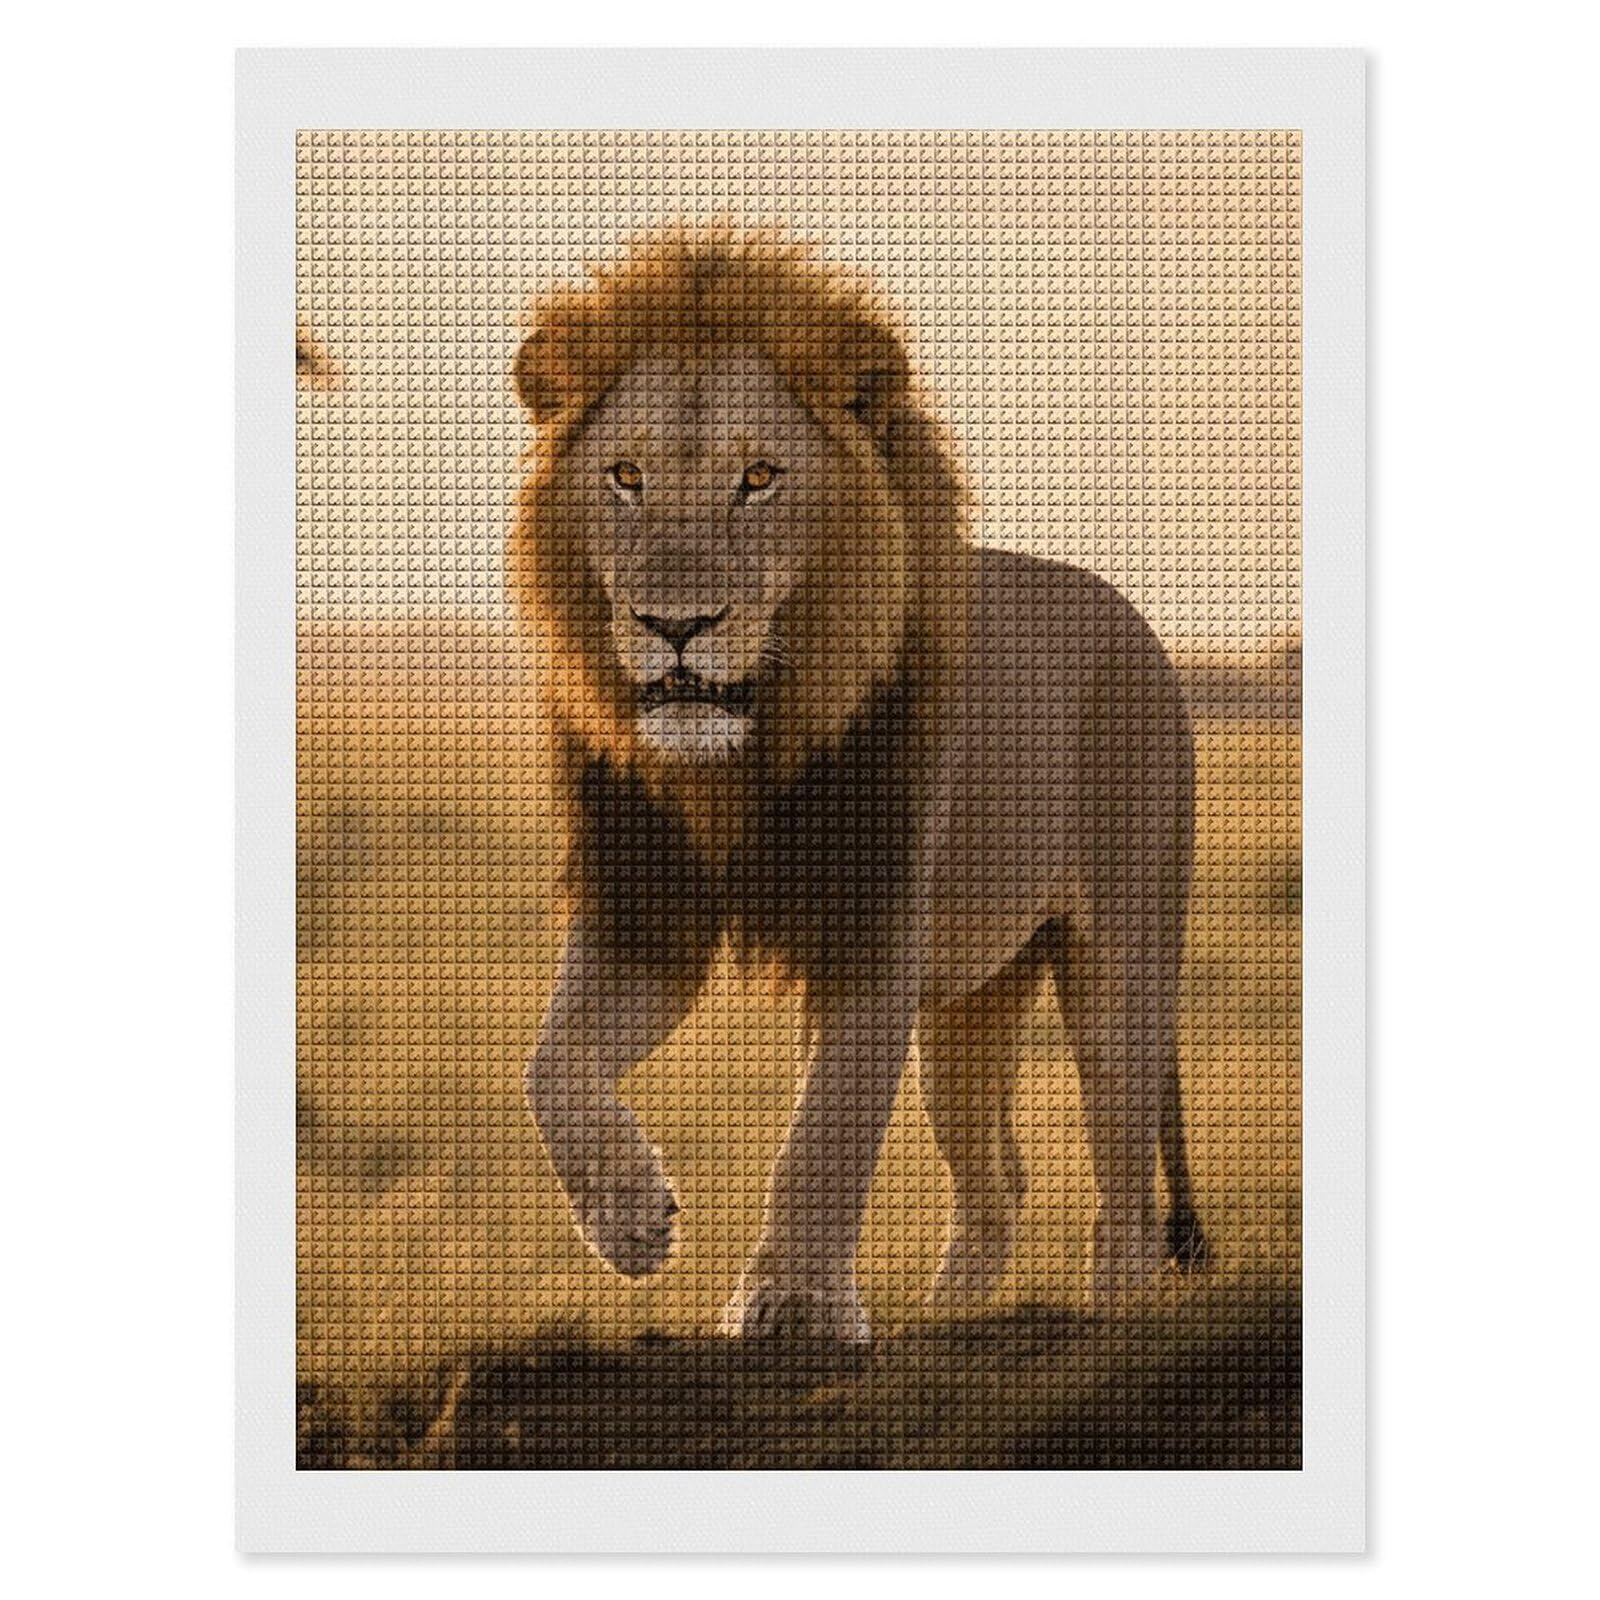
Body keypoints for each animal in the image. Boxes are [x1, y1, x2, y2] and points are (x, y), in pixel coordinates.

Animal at [510, 233, 1206, 1342]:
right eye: (625, 475)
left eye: (758, 477)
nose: (676, 625)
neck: (740, 762)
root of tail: (1135, 619)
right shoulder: (642, 915)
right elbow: (549, 1067)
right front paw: (632, 1221)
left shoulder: (873, 929)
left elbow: (824, 1132)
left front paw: (791, 1303)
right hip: (970, 999)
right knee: (997, 1184)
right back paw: (946, 1324)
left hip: (1120, 961)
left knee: (1126, 1189)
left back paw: (1109, 1324)